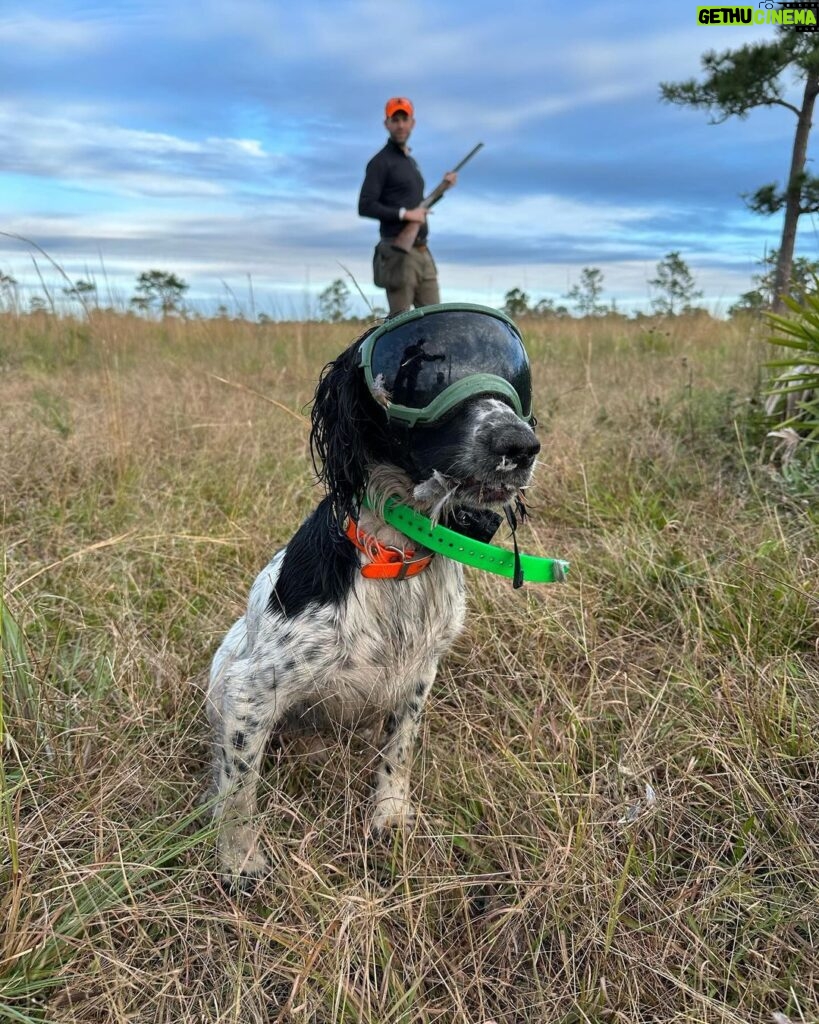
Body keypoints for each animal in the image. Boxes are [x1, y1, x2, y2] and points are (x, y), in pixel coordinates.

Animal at [209, 303, 544, 888]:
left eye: (515, 378)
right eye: (423, 373)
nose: (520, 445)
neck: (397, 559)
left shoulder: (419, 676)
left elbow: (399, 750)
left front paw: (388, 813)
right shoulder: (250, 689)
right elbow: (238, 790)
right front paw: (239, 861)